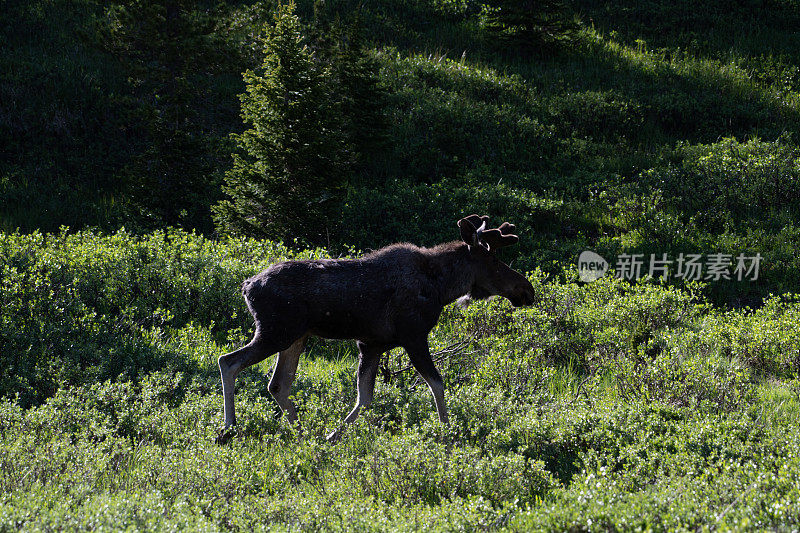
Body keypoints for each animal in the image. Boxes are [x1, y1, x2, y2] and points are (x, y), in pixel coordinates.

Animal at [216, 212, 536, 440]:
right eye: (494, 261)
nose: (527, 290)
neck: (441, 287)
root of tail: (246, 286)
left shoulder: (372, 344)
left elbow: (366, 398)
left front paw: (333, 435)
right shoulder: (413, 335)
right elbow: (437, 383)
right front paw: (447, 432)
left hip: (295, 337)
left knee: (278, 384)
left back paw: (303, 433)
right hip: (276, 332)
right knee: (228, 361)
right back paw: (229, 428)